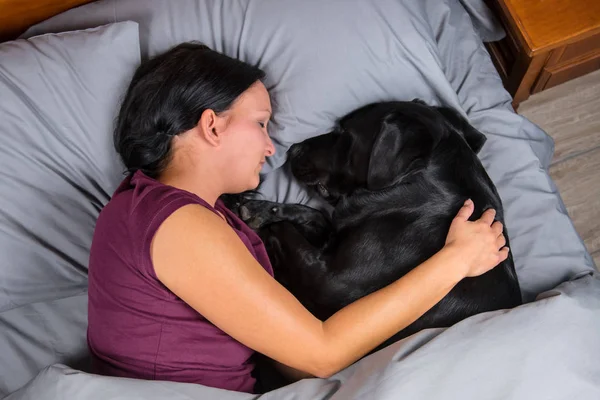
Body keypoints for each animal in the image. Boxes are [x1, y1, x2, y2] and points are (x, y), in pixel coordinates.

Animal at [224, 99, 520, 346]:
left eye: (344, 132)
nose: (293, 150)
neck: (414, 189)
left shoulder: (328, 281)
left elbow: (286, 231)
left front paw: (260, 223)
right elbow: (315, 215)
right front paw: (264, 209)